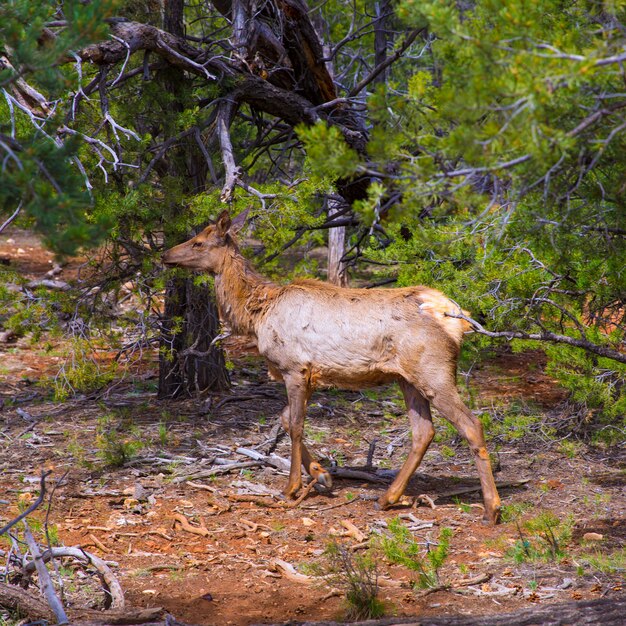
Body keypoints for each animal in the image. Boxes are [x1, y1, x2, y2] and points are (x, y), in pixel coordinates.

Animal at [162, 210, 502, 520]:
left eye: (199, 242)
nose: (166, 255)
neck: (256, 315)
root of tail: (458, 319)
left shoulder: (294, 368)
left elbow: (296, 424)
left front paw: (291, 488)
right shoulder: (311, 374)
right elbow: (286, 420)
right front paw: (322, 474)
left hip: (433, 371)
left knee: (471, 425)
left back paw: (491, 508)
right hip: (407, 378)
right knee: (424, 431)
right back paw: (388, 497)